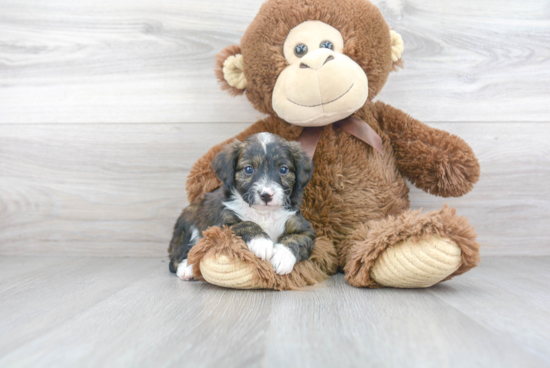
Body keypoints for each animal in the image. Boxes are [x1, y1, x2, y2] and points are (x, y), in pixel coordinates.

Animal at [168, 132, 316, 278]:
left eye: (283, 169)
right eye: (249, 169)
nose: (266, 195)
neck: (263, 213)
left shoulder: (305, 228)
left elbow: (295, 239)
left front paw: (282, 258)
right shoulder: (221, 226)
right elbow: (245, 224)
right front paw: (261, 242)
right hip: (188, 219)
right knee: (180, 254)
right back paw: (187, 268)